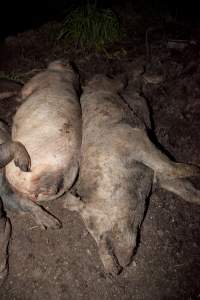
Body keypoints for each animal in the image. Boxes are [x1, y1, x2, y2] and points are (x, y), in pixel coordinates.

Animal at [63, 74, 200, 274]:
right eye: (95, 237)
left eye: (101, 230)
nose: (115, 270)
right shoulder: (153, 172)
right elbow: (175, 179)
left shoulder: (133, 140)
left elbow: (172, 172)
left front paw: (196, 170)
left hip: (112, 85)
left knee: (127, 82)